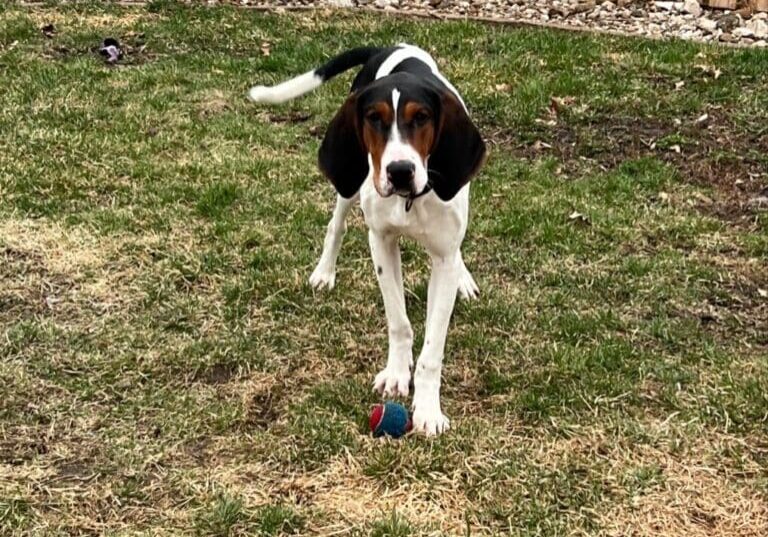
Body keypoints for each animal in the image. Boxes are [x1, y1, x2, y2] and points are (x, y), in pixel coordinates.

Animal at [248, 44, 486, 434]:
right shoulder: (382, 243)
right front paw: (396, 374)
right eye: (374, 118)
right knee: (336, 225)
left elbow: (433, 347)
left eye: (421, 117)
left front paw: (428, 407)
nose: (400, 171)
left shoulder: (443, 257)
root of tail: (390, 46)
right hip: (351, 182)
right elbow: (399, 322)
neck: (410, 200)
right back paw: (325, 272)